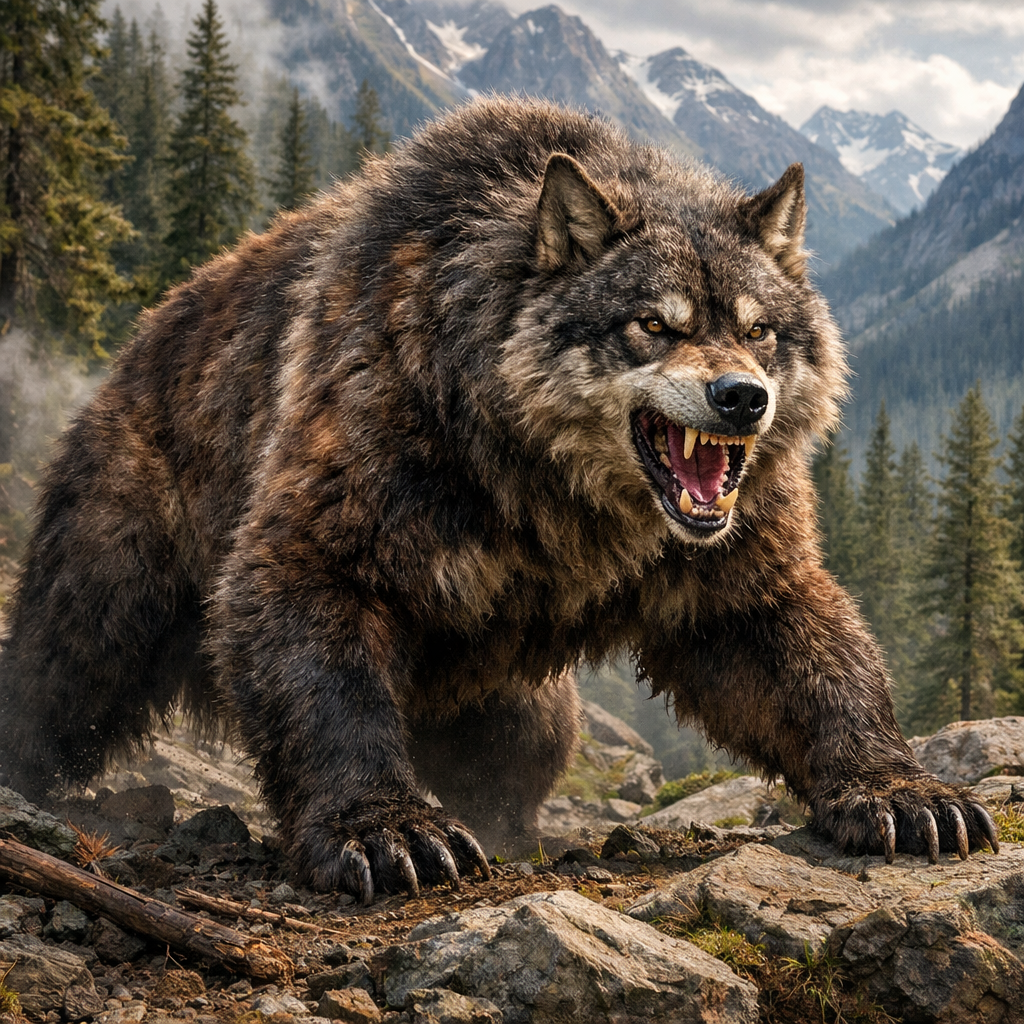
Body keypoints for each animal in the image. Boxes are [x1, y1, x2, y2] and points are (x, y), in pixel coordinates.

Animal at [0, 98, 998, 901]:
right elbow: (326, 683)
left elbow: (822, 670)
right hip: (108, 599)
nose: (742, 399)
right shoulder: (324, 533)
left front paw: (900, 790)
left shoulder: (734, 573)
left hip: (529, 708)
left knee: (514, 765)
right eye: (653, 323)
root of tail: (139, 338)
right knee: (51, 683)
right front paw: (384, 826)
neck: (547, 483)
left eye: (759, 330)